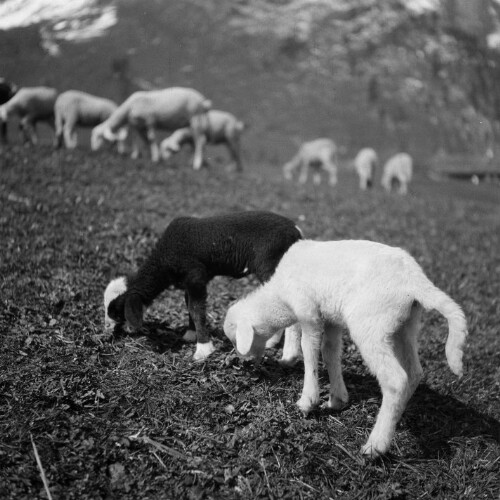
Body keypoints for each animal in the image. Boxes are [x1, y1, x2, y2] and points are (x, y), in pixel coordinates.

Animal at [225, 240, 466, 458]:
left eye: (237, 342)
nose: (245, 363)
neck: (279, 298)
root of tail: (415, 280)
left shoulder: (308, 311)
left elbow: (309, 350)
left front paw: (307, 401)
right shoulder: (331, 318)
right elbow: (330, 352)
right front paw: (337, 399)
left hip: (370, 324)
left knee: (396, 380)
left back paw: (376, 445)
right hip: (405, 326)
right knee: (414, 372)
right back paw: (396, 417)